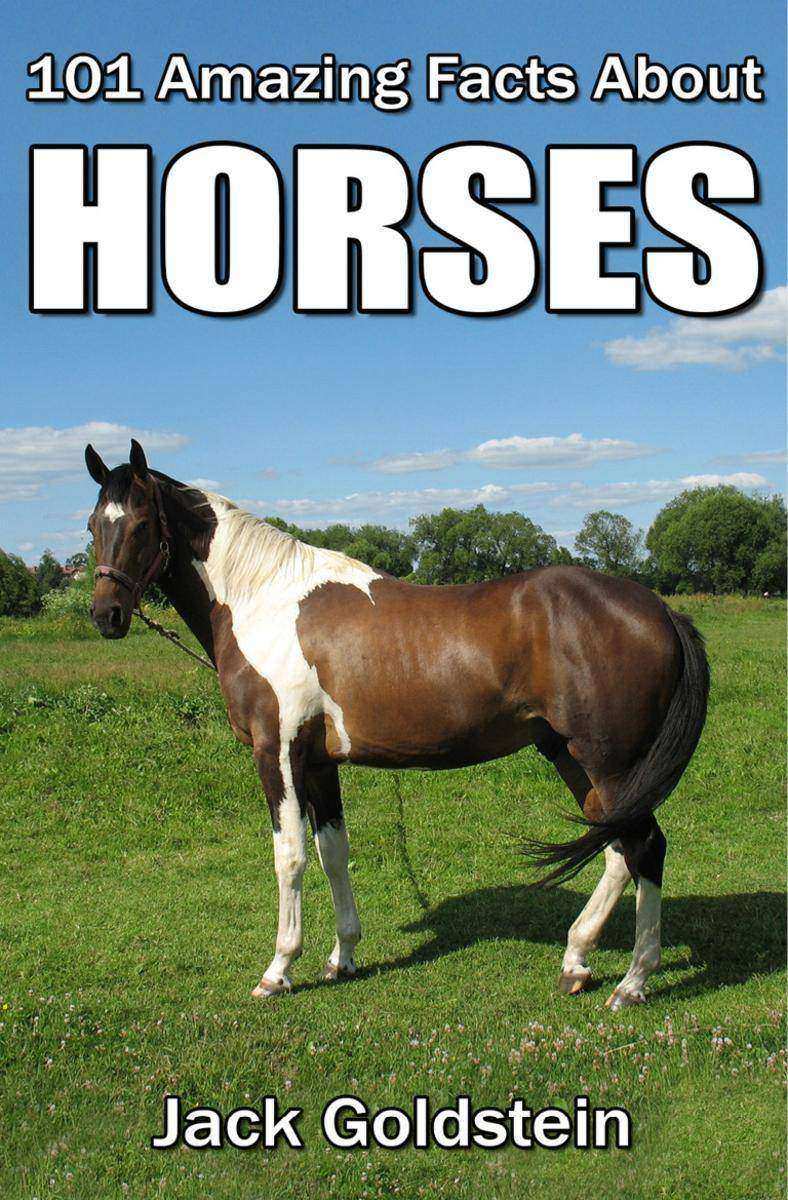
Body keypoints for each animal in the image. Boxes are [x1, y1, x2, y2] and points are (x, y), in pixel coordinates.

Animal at [85, 440, 709, 1010]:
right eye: (94, 523)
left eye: (142, 524)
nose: (105, 615)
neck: (262, 600)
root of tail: (660, 609)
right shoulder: (319, 762)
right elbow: (332, 852)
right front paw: (343, 956)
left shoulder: (277, 752)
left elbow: (290, 855)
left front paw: (278, 969)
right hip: (573, 757)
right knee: (619, 849)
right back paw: (577, 961)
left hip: (610, 760)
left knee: (646, 846)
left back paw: (633, 982)